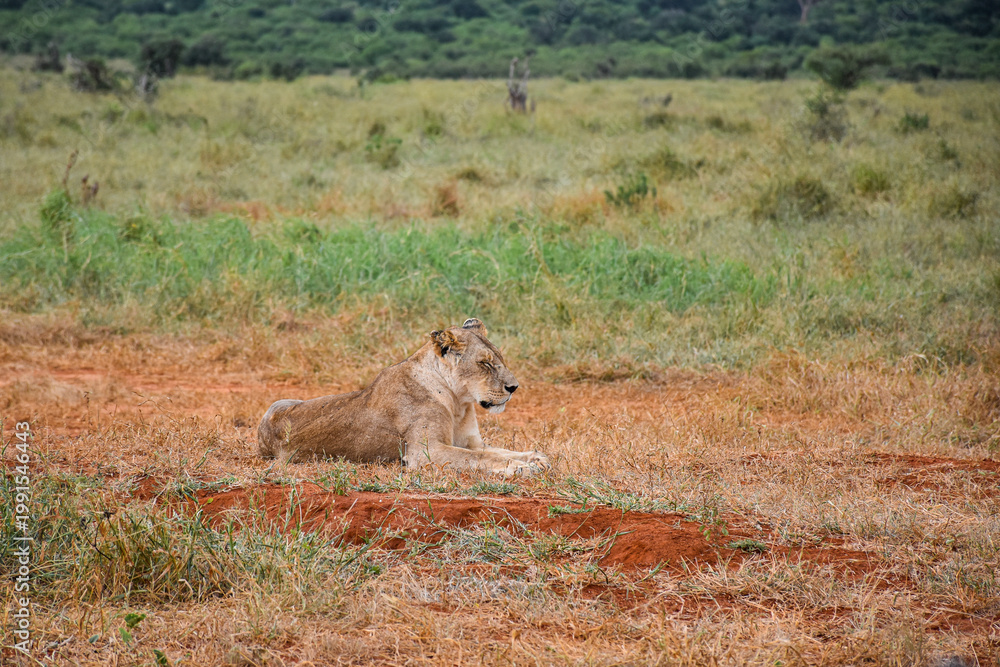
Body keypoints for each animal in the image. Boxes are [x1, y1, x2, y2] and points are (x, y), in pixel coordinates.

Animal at [257, 318, 550, 475]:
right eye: (485, 363)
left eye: (499, 358)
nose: (514, 387)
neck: (458, 402)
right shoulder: (425, 452)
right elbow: (482, 459)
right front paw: (520, 467)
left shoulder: (472, 442)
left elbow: (499, 451)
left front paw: (535, 459)